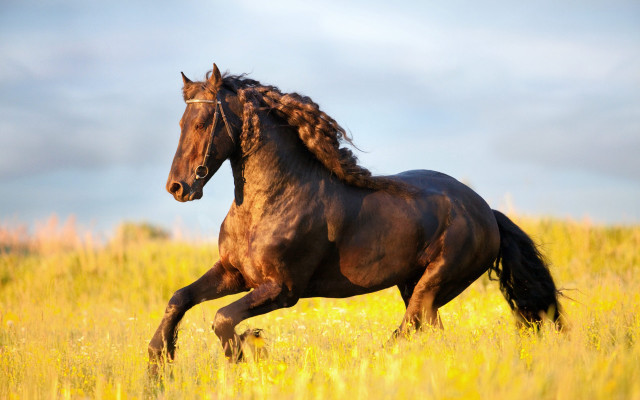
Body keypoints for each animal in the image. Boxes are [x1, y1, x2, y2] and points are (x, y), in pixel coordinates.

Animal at [148, 63, 564, 370]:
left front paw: (247, 353)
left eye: (203, 122)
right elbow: (179, 299)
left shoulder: (283, 289)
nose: (178, 187)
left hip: (435, 283)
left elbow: (222, 318)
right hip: (414, 285)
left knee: (408, 328)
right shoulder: (235, 273)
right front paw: (158, 362)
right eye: (181, 123)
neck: (268, 204)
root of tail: (486, 212)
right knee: (429, 332)